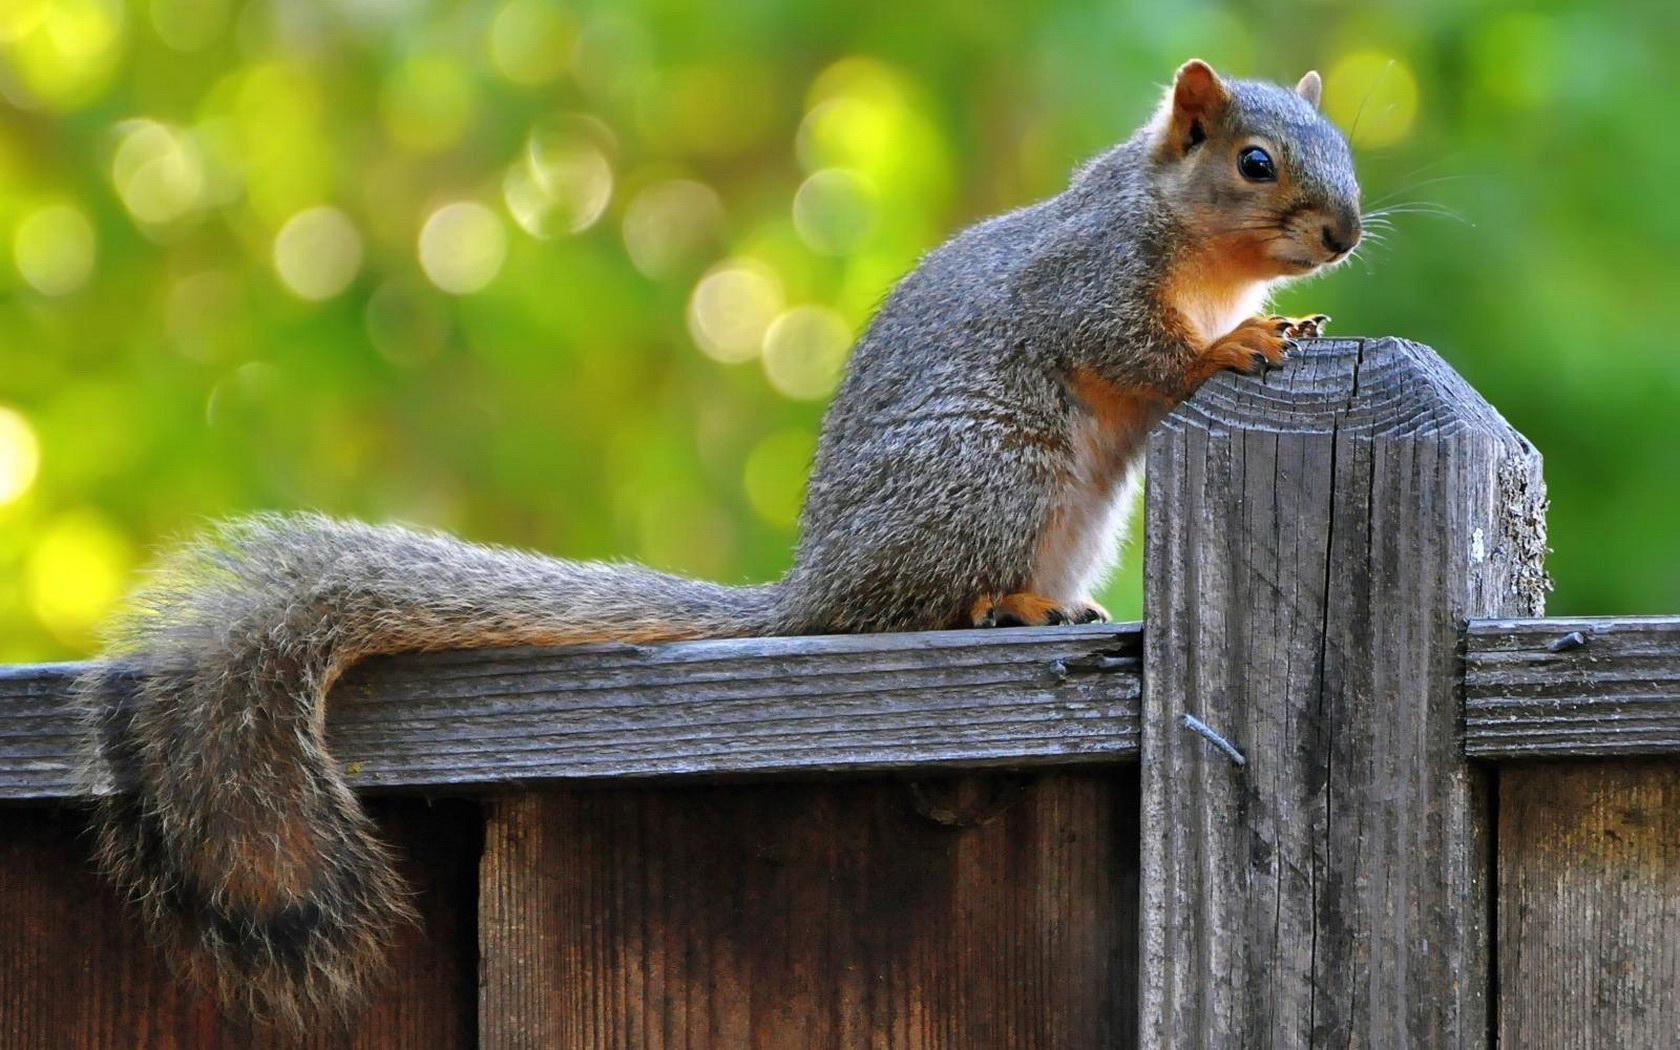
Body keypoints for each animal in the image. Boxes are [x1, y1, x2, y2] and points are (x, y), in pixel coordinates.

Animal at [75, 55, 1364, 1021]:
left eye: (1344, 148)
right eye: (1254, 161)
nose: (1345, 233)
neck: (1179, 228)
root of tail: (816, 584)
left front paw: (1287, 321)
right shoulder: (1090, 283)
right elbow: (1142, 348)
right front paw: (1233, 347)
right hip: (990, 471)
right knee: (909, 606)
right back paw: (1005, 603)